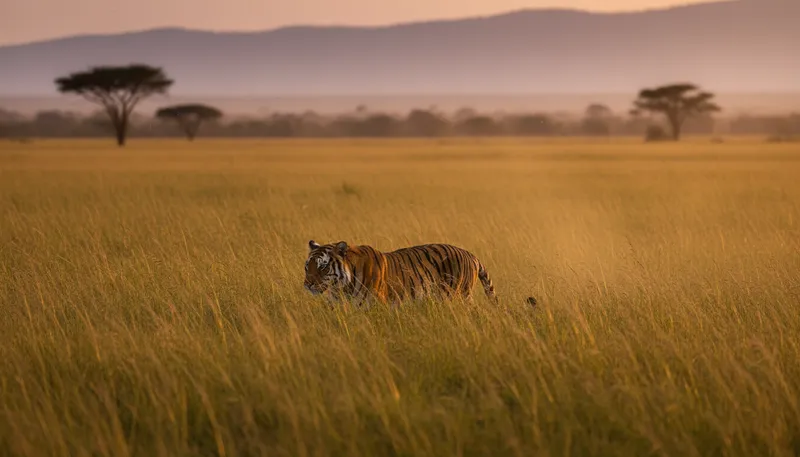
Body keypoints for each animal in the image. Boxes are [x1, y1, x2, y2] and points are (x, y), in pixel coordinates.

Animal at [303, 240, 538, 308]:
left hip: (457, 296)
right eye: (307, 267)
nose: (308, 284)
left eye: (323, 267)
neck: (342, 288)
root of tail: (471, 254)